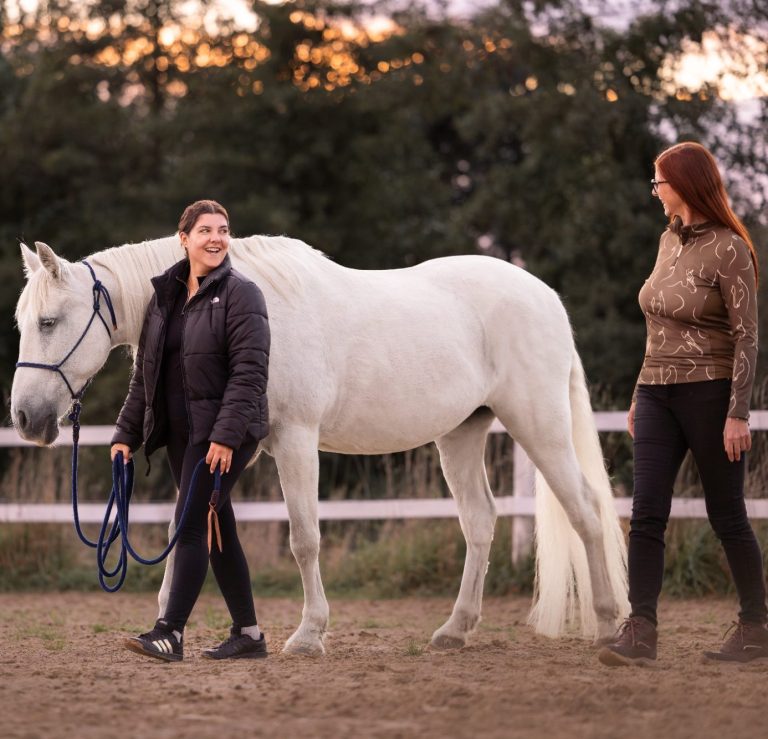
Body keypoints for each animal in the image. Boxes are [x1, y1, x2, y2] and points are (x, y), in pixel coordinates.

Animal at [10, 236, 632, 652]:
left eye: (49, 321)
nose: (24, 418)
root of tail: (547, 298)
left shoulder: (296, 441)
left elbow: (304, 539)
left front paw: (308, 635)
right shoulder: (231, 448)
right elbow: (187, 528)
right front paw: (167, 624)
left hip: (538, 424)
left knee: (586, 510)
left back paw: (607, 623)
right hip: (462, 432)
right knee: (480, 523)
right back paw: (454, 630)